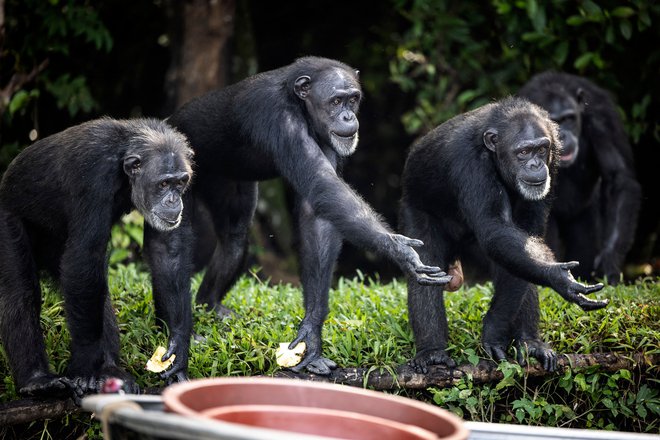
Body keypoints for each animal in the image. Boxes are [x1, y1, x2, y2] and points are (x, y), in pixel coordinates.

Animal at [0, 118, 195, 400]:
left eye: (179, 183)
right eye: (162, 184)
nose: (173, 200)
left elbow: (168, 250)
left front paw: (178, 347)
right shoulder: (92, 176)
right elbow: (84, 260)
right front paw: (83, 370)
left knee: (96, 290)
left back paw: (109, 371)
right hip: (7, 218)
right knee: (23, 290)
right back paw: (37, 381)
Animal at [168, 55, 452, 374]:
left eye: (353, 99)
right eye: (336, 101)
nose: (348, 117)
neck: (299, 104)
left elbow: (317, 213)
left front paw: (311, 337)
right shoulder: (277, 116)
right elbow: (320, 183)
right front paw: (400, 250)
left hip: (230, 181)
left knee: (234, 238)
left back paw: (209, 305)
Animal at [398, 98, 608, 372]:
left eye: (541, 149)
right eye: (523, 152)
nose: (535, 165)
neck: (494, 153)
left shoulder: (554, 164)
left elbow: (524, 240)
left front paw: (496, 333)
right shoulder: (469, 163)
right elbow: (495, 229)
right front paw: (560, 277)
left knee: (517, 259)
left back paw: (531, 343)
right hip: (415, 207)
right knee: (425, 270)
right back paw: (432, 353)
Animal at [520, 72, 640, 284]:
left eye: (569, 118)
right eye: (553, 121)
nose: (563, 135)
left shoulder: (603, 116)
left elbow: (618, 177)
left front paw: (609, 261)